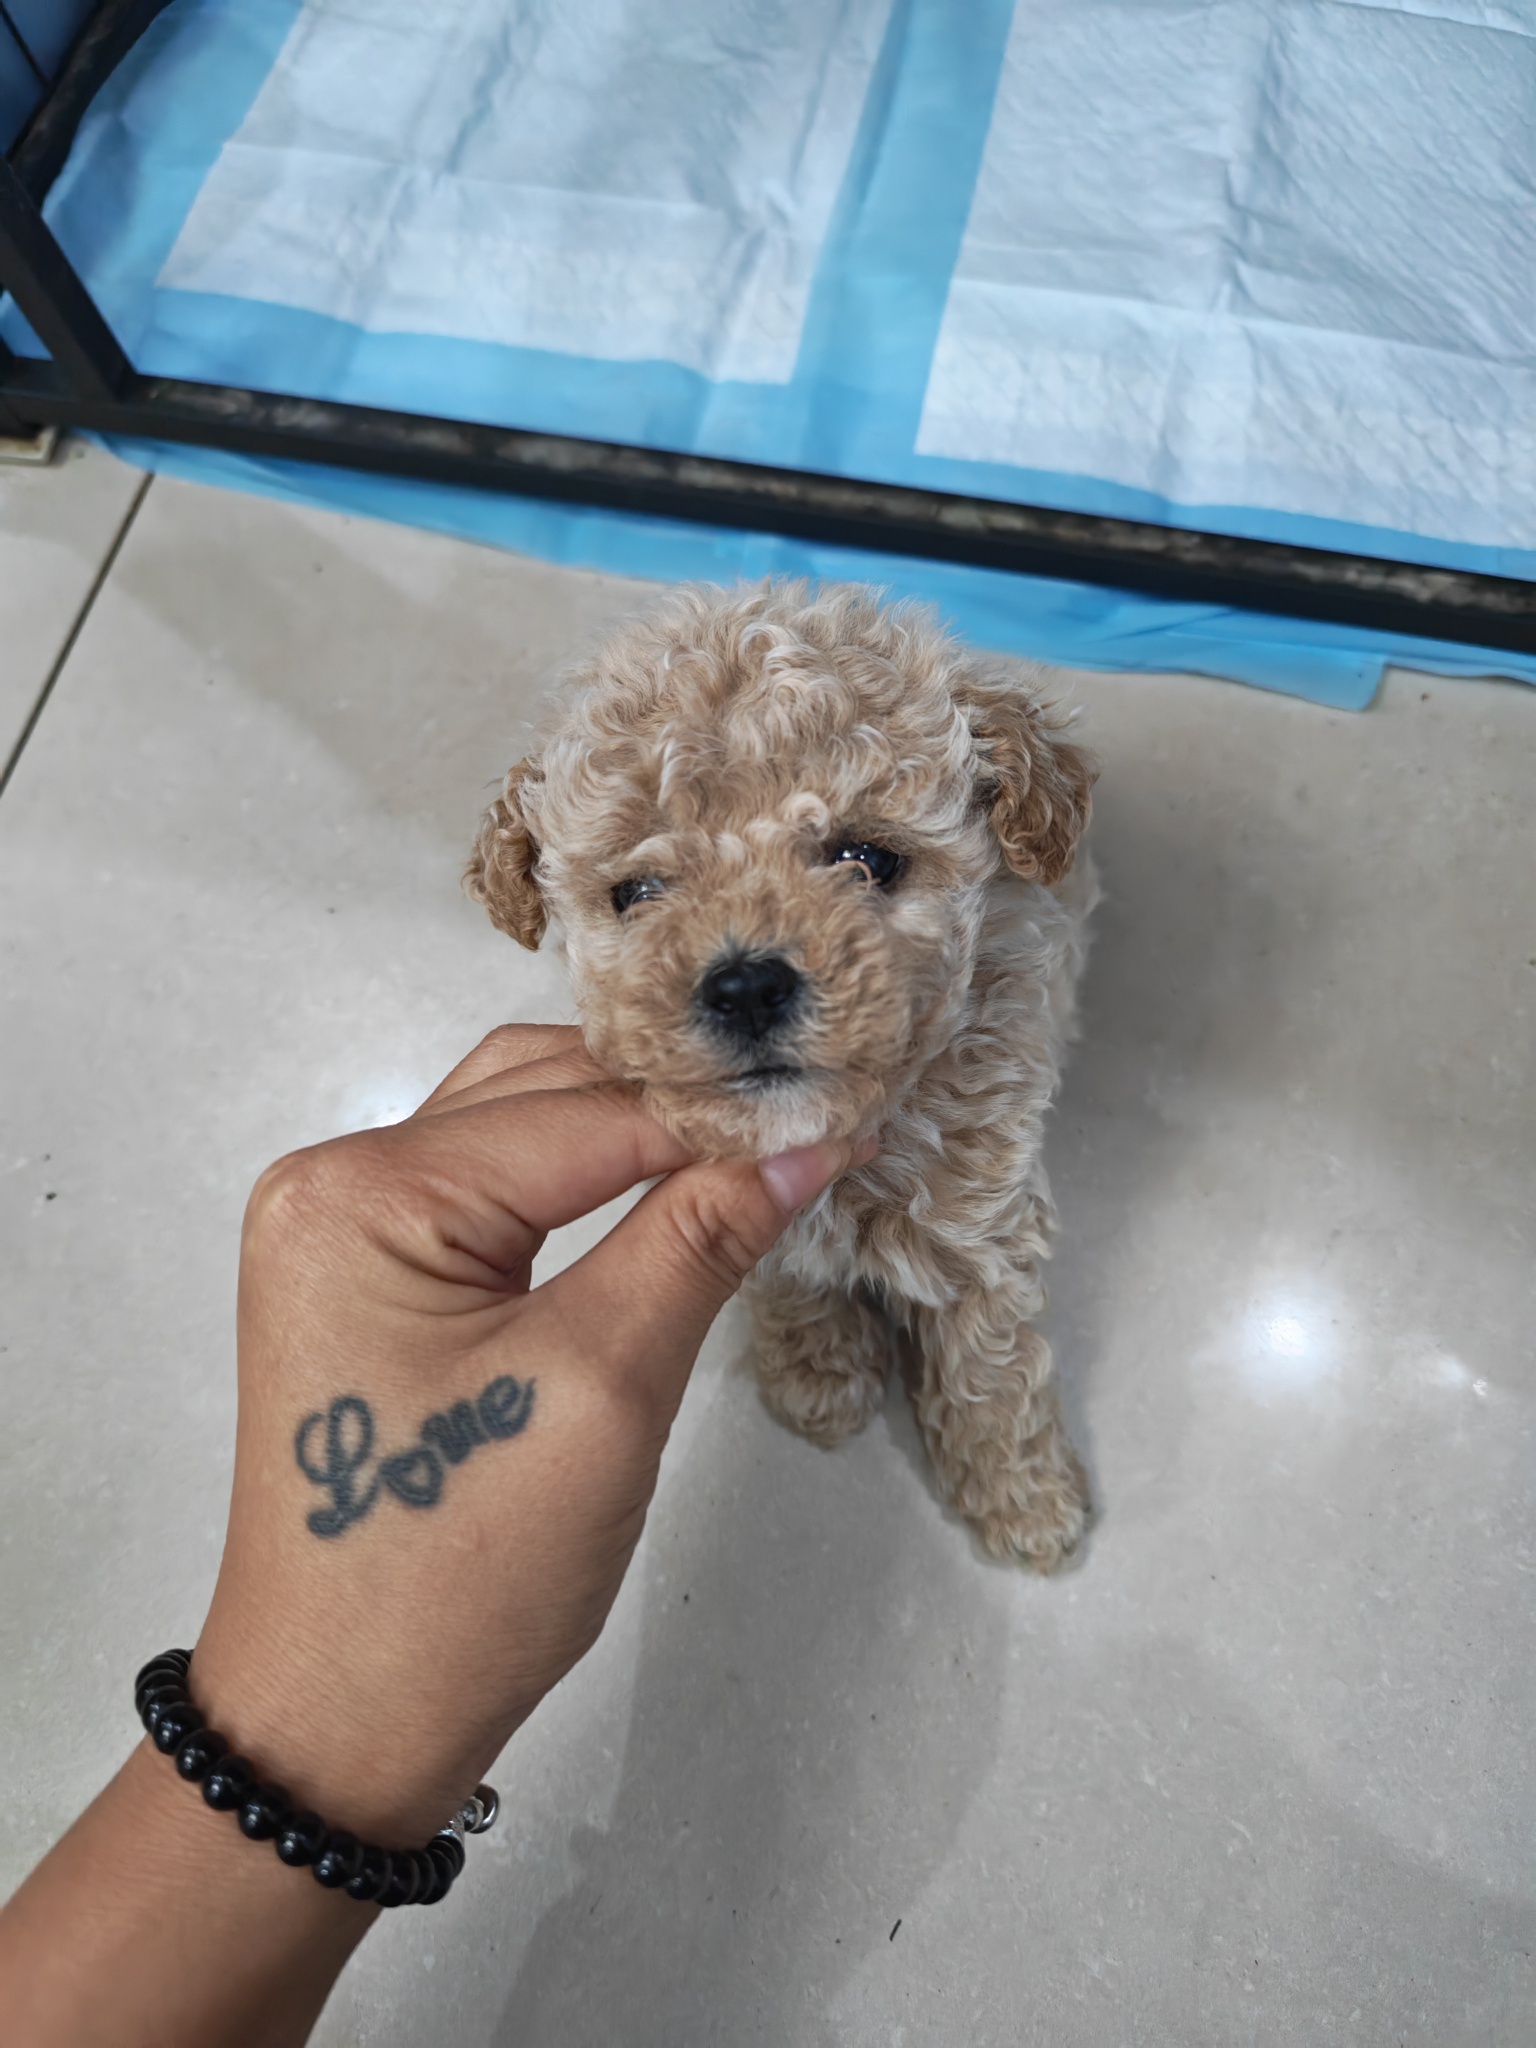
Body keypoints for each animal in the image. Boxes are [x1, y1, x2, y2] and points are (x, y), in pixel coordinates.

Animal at [467, 581, 1098, 1570]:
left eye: (867, 859)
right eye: (636, 893)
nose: (745, 985)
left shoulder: (986, 1220)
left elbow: (989, 1367)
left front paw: (1023, 1500)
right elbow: (788, 1279)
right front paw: (818, 1373)